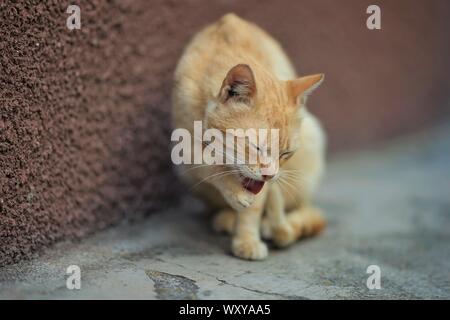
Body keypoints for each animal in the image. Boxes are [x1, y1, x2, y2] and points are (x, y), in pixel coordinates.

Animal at [171, 14, 326, 260]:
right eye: (256, 146)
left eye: (286, 153)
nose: (270, 175)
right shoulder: (183, 146)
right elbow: (209, 164)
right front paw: (235, 193)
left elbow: (255, 206)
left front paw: (247, 240)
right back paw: (227, 217)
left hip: (312, 139)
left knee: (303, 210)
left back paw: (273, 225)